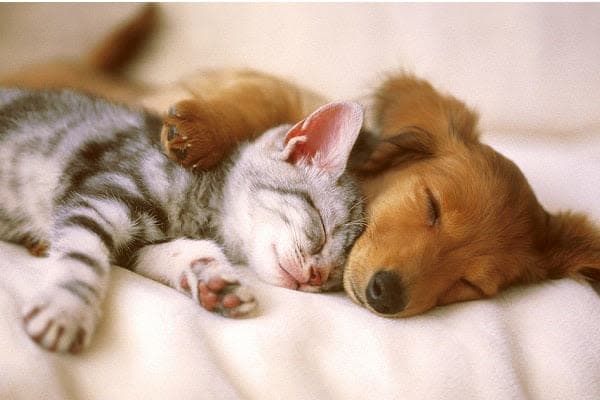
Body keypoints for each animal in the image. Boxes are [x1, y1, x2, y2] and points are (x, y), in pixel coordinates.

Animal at [0, 88, 366, 354]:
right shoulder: (100, 196)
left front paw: (214, 281)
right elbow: (82, 255)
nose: (317, 276)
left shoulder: (137, 241)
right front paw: (66, 307)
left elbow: (181, 250)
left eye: (335, 276)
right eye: (321, 229)